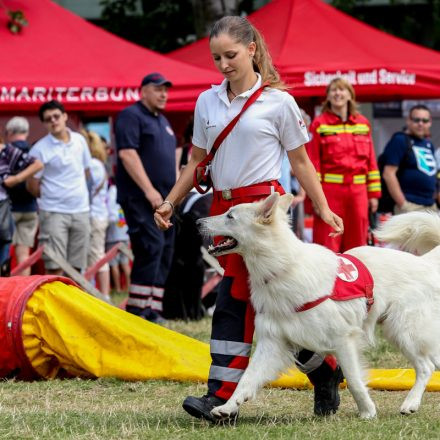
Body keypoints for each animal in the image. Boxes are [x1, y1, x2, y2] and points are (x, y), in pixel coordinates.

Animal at [198, 194, 440, 422]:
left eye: (230, 216)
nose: (198, 221)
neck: (283, 266)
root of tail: (425, 262)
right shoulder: (272, 342)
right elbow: (246, 379)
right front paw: (228, 407)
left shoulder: (344, 340)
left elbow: (354, 380)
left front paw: (367, 411)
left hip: (404, 331)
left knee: (426, 366)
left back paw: (410, 403)